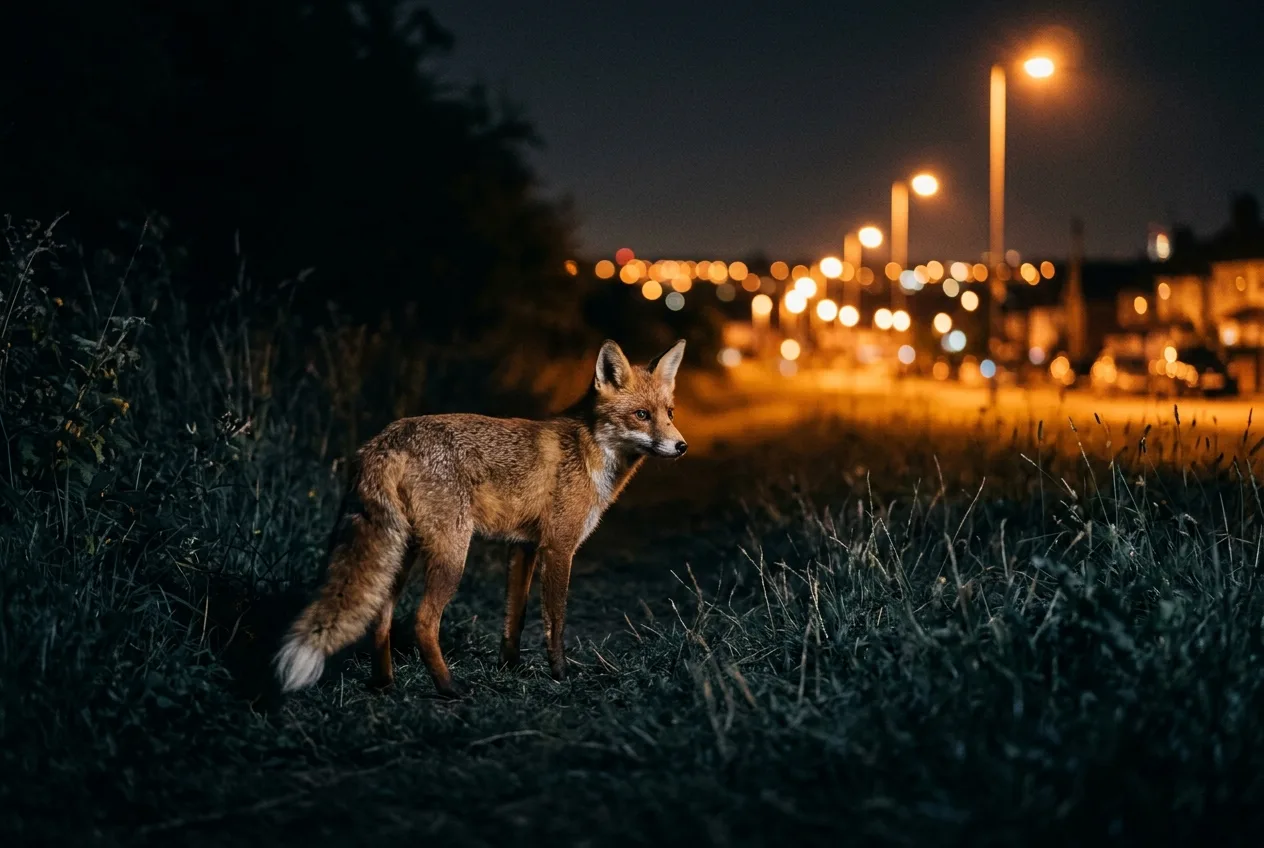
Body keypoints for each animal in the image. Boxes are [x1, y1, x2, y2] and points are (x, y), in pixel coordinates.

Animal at [274, 338, 688, 696]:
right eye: (641, 415)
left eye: (669, 413)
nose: (681, 446)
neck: (589, 451)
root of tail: (384, 440)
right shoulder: (559, 547)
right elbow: (555, 621)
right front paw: (561, 674)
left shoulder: (523, 547)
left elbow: (514, 619)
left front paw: (510, 669)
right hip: (452, 553)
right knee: (423, 622)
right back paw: (448, 687)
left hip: (401, 552)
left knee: (381, 618)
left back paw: (384, 684)